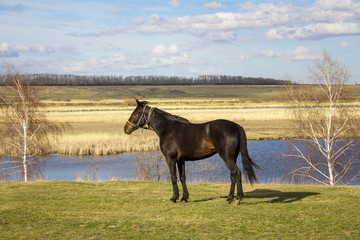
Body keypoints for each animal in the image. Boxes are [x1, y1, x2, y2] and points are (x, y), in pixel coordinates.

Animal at [125, 99, 258, 204]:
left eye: (135, 113)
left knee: (237, 173)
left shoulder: (170, 159)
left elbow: (173, 177)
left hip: (226, 156)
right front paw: (184, 197)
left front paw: (174, 197)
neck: (167, 128)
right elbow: (183, 177)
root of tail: (236, 126)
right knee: (233, 175)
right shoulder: (180, 160)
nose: (126, 128)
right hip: (232, 157)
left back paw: (237, 198)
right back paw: (230, 198)